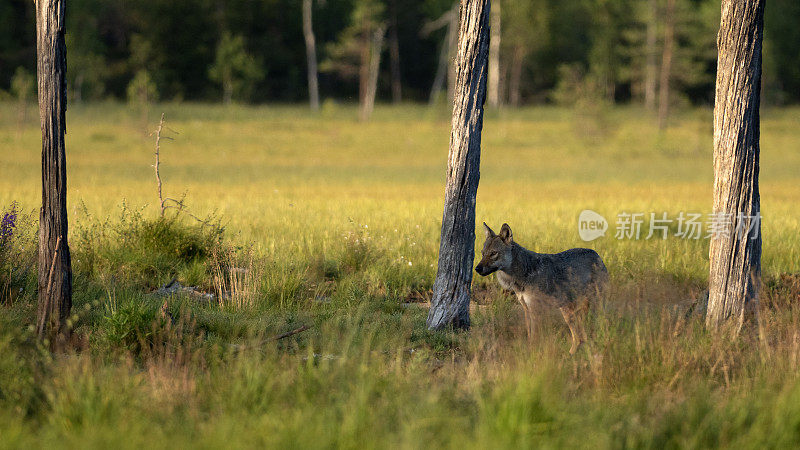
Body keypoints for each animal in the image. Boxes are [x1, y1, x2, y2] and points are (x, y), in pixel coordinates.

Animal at [476, 223, 608, 354]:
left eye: (493, 253)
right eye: (483, 253)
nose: (477, 269)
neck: (522, 274)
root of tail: (595, 253)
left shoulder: (535, 310)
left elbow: (534, 337)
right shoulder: (526, 309)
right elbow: (530, 336)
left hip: (592, 308)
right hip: (568, 313)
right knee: (580, 338)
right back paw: (572, 354)